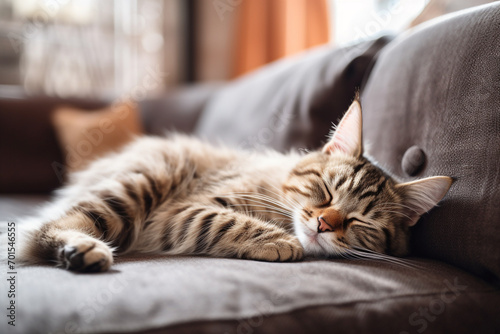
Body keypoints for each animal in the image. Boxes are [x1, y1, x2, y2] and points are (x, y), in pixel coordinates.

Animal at [18, 101, 454, 272]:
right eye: (326, 192)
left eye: (360, 221)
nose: (324, 224)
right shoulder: (181, 209)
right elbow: (228, 221)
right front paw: (281, 241)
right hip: (140, 183)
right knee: (40, 231)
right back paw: (83, 249)